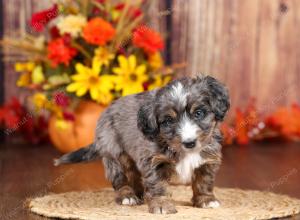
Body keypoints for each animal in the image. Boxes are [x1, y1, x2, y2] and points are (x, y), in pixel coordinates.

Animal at [55, 76, 231, 215]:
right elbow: (158, 185)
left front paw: (206, 200)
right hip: (114, 153)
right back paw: (127, 196)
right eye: (168, 121)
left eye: (199, 113)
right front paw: (162, 205)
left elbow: (204, 181)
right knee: (121, 179)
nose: (189, 143)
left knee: (133, 175)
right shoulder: (154, 162)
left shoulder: (208, 160)